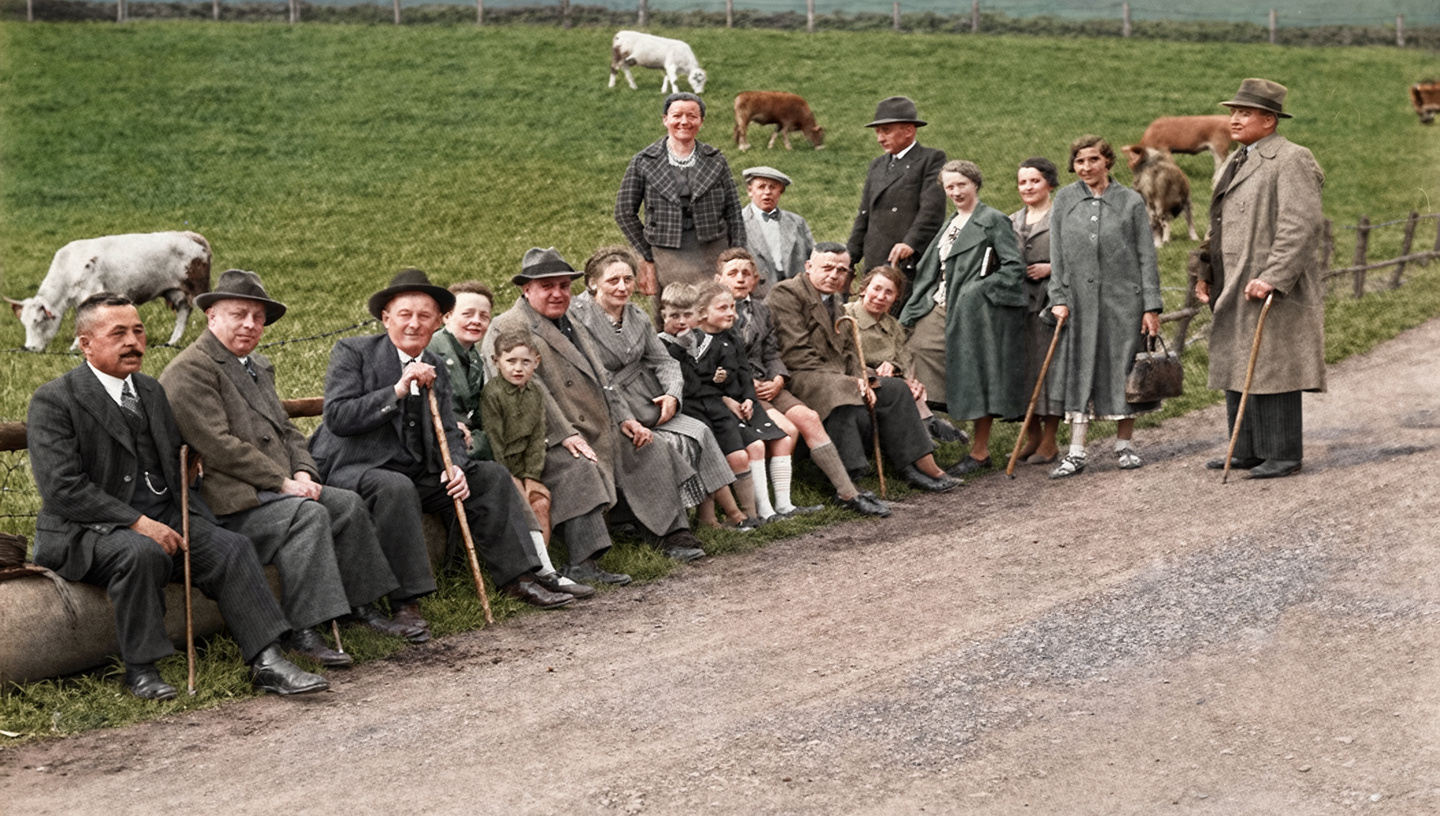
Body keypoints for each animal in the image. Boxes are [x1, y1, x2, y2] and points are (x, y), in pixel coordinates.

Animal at [6, 231, 211, 352]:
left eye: (38, 321)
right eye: (24, 323)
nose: (28, 348)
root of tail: (193, 236)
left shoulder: (91, 292)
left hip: (198, 289)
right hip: (175, 292)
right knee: (183, 313)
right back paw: (171, 342)